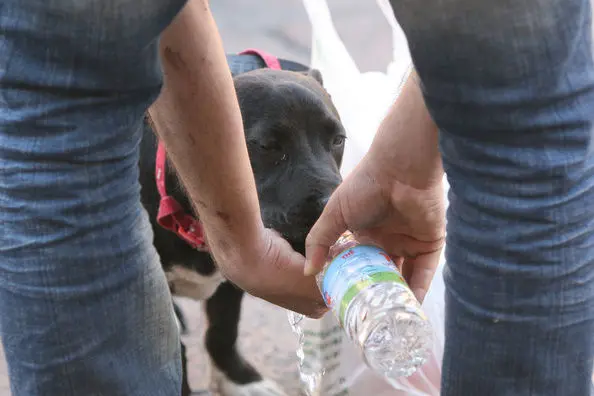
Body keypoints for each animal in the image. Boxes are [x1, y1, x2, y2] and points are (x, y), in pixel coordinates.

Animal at [137, 52, 344, 396]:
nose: (333, 206)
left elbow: (223, 330)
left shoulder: (237, 270)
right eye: (267, 145)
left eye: (339, 140)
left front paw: (241, 381)